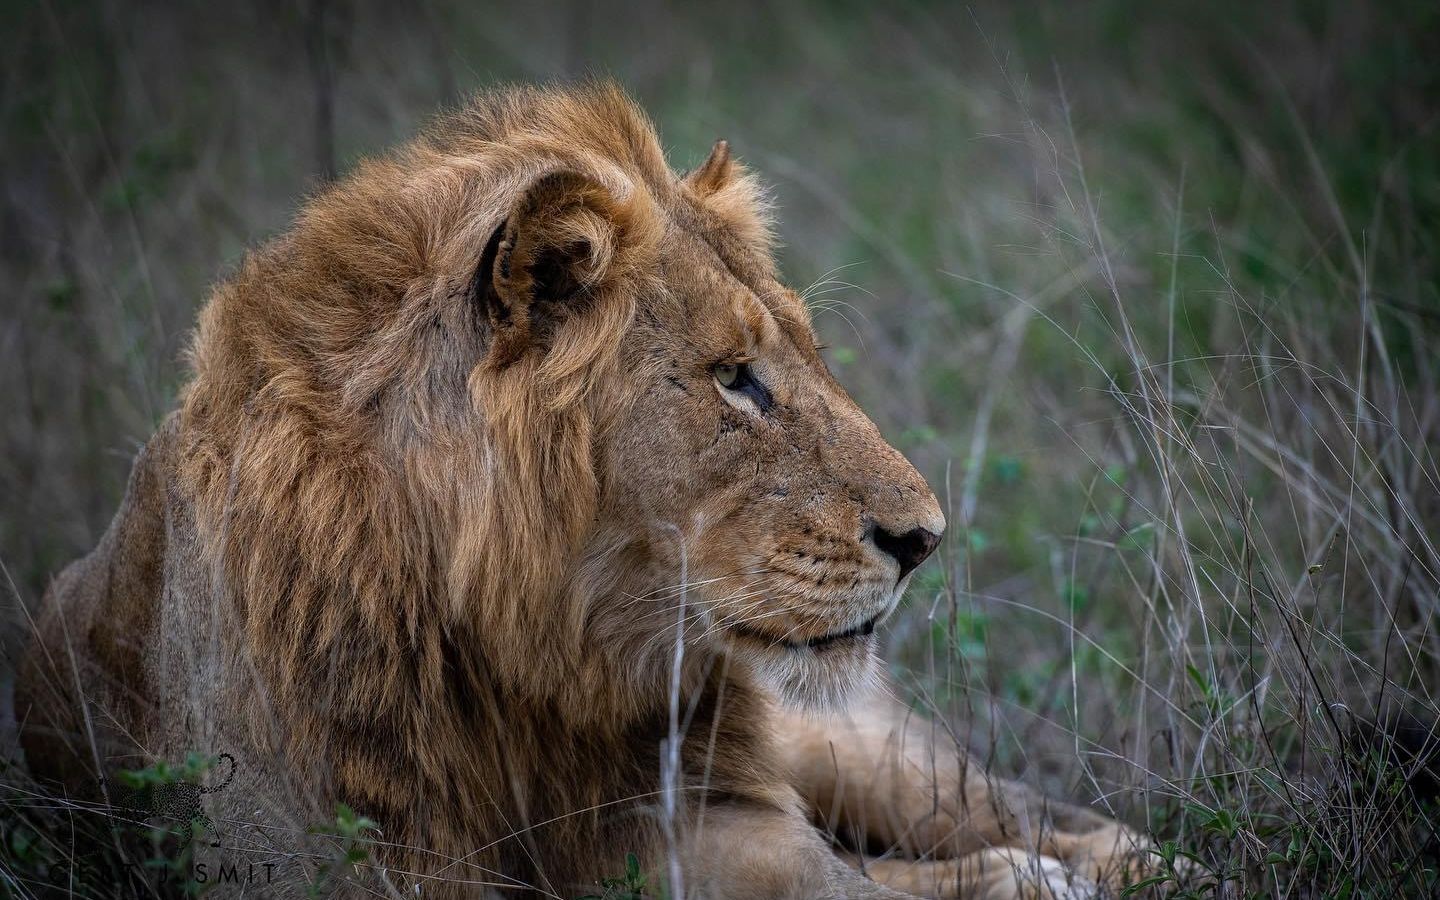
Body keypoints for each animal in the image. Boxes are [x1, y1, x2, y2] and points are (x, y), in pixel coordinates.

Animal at [14, 82, 1146, 892]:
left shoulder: (721, 826)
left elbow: (887, 877)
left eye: (810, 359)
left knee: (1021, 815)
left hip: (845, 741)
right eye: (735, 378)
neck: (526, 655)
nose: (925, 539)